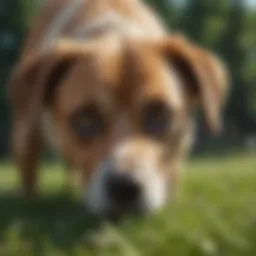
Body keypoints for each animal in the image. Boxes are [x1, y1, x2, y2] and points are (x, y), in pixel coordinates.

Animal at [8, 0, 229, 218]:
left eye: (159, 114)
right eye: (85, 117)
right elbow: (29, 173)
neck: (115, 33)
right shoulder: (29, 132)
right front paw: (30, 205)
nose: (124, 187)